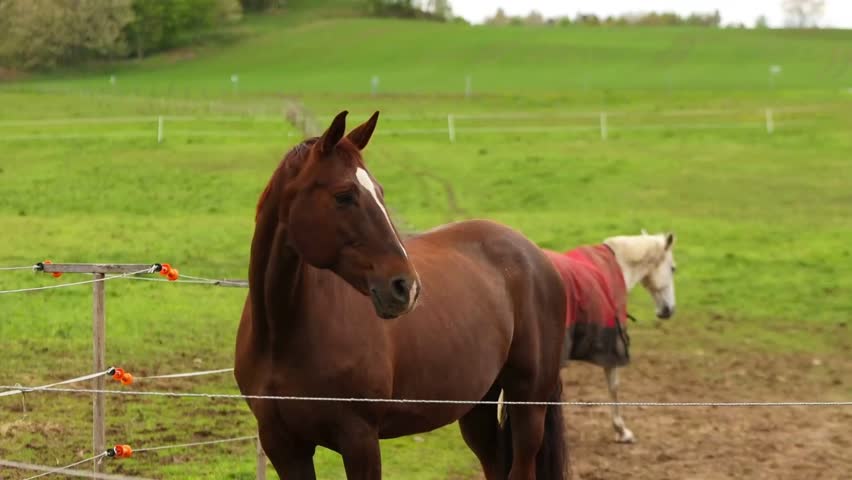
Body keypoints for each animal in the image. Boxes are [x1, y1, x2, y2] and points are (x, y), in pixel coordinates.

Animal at [234, 110, 570, 479]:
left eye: (380, 192)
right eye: (344, 195)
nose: (406, 287)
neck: (282, 333)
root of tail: (535, 255)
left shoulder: (360, 439)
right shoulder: (283, 445)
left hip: (528, 404)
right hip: (477, 406)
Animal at [538, 231, 677, 444]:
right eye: (673, 269)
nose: (668, 310)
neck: (617, 265)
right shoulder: (613, 345)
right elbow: (614, 386)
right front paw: (621, 430)